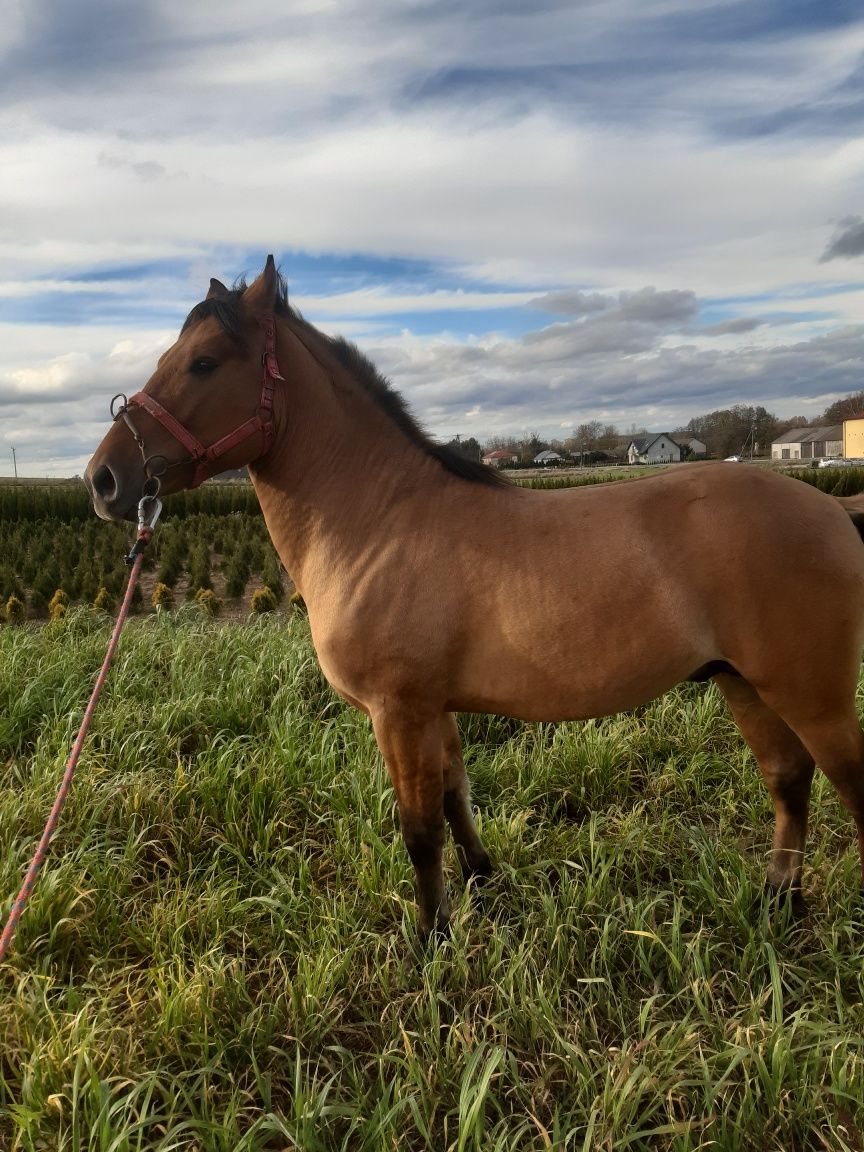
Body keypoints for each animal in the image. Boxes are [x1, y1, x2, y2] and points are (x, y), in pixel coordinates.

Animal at [84, 256, 864, 940]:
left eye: (205, 362)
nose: (104, 480)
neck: (378, 521)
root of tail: (834, 510)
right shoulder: (436, 710)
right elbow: (457, 801)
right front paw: (484, 885)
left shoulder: (399, 712)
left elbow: (419, 829)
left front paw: (430, 939)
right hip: (743, 684)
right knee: (788, 780)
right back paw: (778, 901)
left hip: (810, 696)